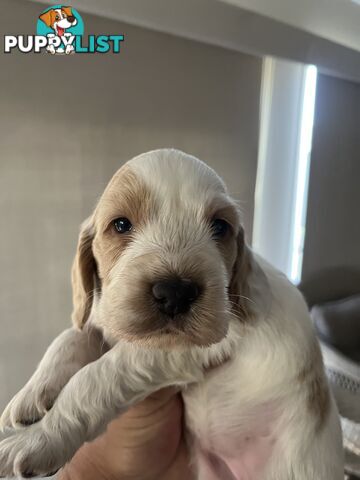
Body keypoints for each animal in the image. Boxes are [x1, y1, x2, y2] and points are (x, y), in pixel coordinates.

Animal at [0, 149, 344, 476]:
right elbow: (71, 336)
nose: (175, 292)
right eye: (121, 224)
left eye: (220, 226)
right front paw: (32, 393)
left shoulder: (191, 347)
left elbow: (97, 375)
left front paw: (38, 438)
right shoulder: (107, 314)